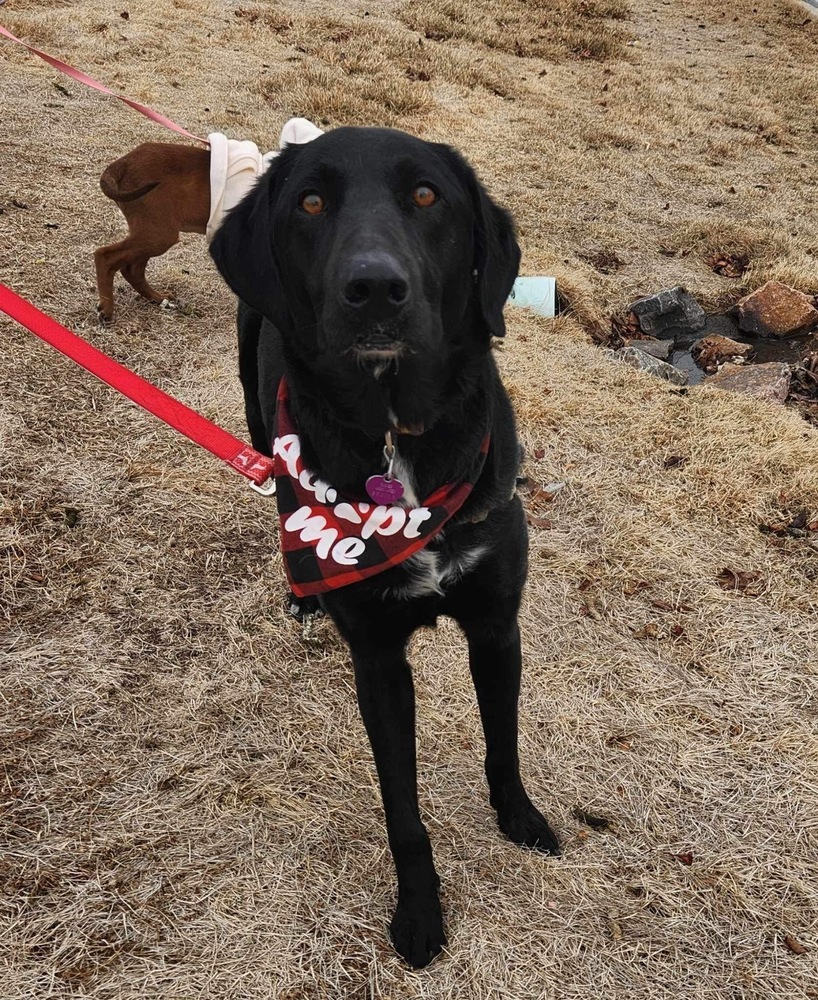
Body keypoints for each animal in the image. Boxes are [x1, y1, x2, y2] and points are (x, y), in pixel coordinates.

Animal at [93, 143, 210, 322]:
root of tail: (123, 163)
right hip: (159, 234)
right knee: (104, 256)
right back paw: (107, 308)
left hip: (150, 232)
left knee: (132, 271)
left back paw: (158, 298)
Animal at [207, 129, 556, 964]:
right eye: (310, 202)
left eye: (427, 195)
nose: (373, 288)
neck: (398, 438)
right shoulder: (378, 661)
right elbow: (403, 810)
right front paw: (419, 915)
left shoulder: (496, 626)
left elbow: (504, 741)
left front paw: (518, 817)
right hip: (261, 423)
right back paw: (300, 594)